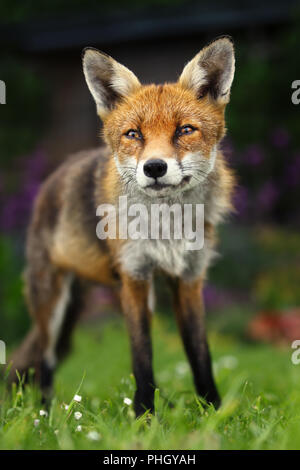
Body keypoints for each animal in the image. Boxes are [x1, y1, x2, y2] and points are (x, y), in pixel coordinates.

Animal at [8, 36, 234, 414]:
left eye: (185, 130)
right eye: (134, 134)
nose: (154, 167)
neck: (166, 228)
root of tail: (57, 173)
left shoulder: (188, 279)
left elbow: (200, 354)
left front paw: (214, 412)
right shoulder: (134, 277)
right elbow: (142, 357)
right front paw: (144, 415)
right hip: (51, 303)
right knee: (44, 361)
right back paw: (43, 415)